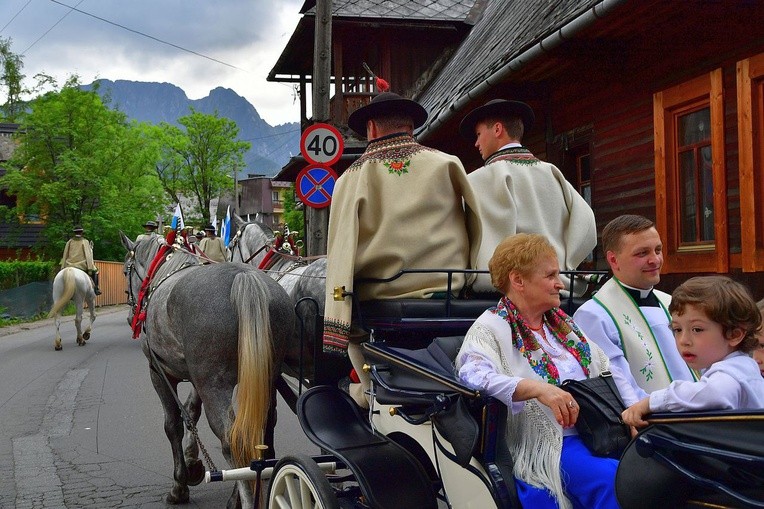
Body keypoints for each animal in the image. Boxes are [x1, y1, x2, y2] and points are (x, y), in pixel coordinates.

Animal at [120, 232, 296, 506]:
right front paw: (193, 465)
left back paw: (244, 499)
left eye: (124, 270)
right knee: (259, 434)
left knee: (232, 439)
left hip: (213, 385)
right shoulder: (195, 380)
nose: (130, 316)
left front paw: (179, 485)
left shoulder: (160, 373)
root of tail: (244, 277)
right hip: (264, 379)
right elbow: (192, 412)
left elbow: (173, 424)